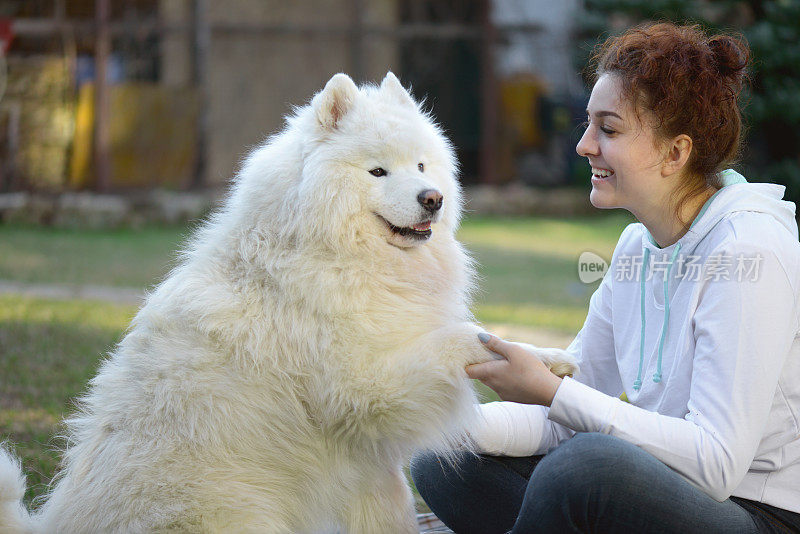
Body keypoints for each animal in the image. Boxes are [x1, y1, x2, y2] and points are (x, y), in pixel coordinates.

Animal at [0, 72, 576, 534]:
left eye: (420, 165)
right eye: (378, 172)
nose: (432, 198)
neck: (340, 255)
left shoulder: (372, 468)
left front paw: (550, 360)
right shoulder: (365, 387)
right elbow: (457, 338)